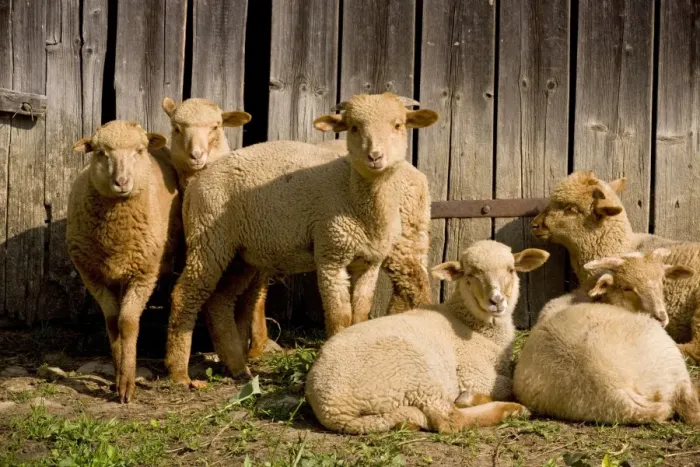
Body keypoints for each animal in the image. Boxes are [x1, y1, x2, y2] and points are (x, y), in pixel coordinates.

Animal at [66, 120, 181, 403]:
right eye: (100, 153)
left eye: (139, 150)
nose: (121, 182)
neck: (114, 233)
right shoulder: (92, 275)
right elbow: (111, 321)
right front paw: (117, 375)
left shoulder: (143, 274)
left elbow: (127, 323)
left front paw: (127, 384)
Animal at [164, 92, 439, 387]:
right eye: (354, 127)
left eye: (398, 125)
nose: (375, 156)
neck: (354, 194)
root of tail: (198, 183)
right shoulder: (331, 254)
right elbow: (340, 317)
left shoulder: (369, 261)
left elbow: (360, 314)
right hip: (210, 240)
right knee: (187, 295)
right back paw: (181, 374)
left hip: (239, 253)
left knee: (219, 301)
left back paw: (237, 367)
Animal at [304, 240, 549, 434]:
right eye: (470, 275)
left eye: (511, 270)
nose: (496, 301)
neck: (470, 324)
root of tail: (331, 408)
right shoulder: (472, 372)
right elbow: (511, 385)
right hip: (416, 374)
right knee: (449, 420)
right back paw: (506, 408)